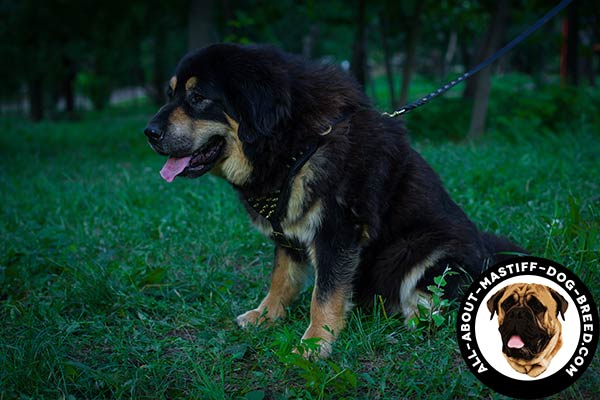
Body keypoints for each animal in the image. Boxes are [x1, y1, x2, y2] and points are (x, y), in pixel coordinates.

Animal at [143, 43, 524, 356]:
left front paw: (315, 343)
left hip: (420, 250)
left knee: (433, 309)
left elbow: (323, 295)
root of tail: (487, 254)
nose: (149, 132)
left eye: (198, 97)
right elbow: (281, 280)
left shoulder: (338, 232)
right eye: (170, 94)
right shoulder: (288, 233)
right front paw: (266, 316)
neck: (294, 143)